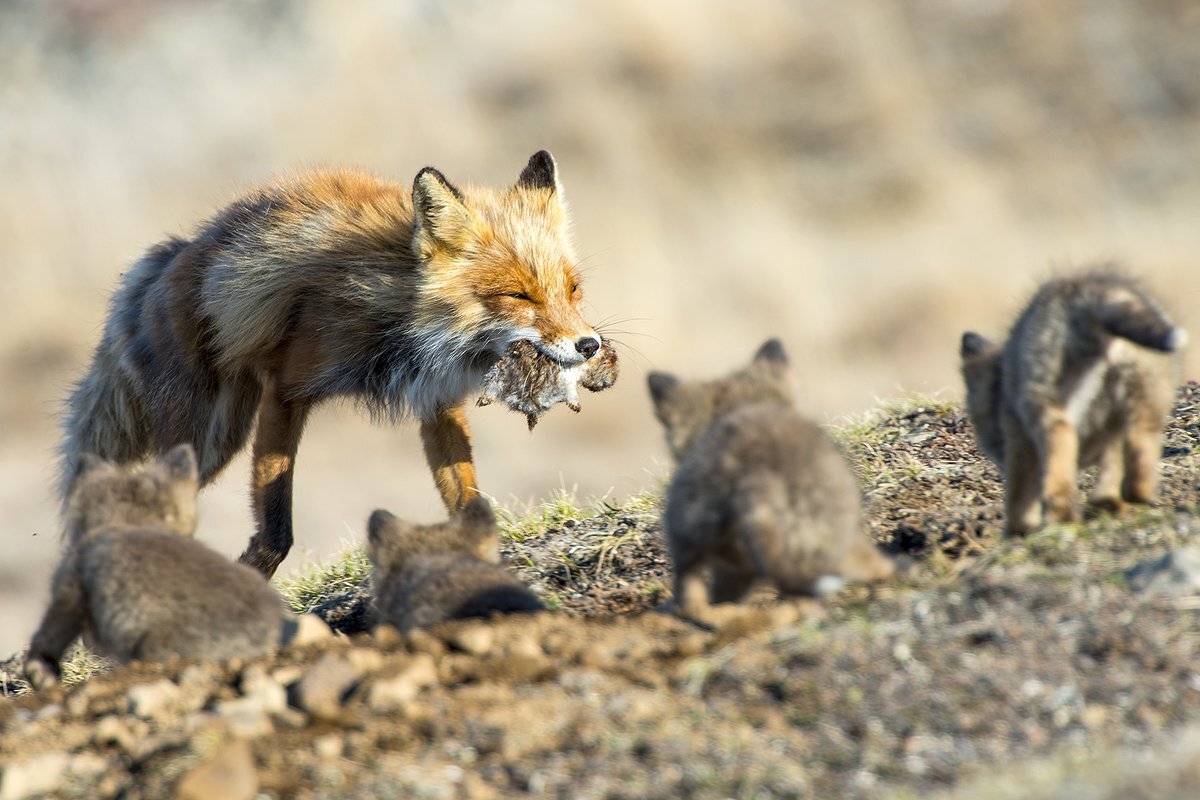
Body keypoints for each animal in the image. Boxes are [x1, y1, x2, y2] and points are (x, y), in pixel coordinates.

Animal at [63, 149, 609, 575]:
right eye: (518, 295)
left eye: (572, 290)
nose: (589, 346)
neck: (402, 317)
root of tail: (174, 252)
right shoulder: (286, 390)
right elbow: (276, 523)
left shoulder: (437, 402)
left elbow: (469, 498)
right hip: (204, 439)